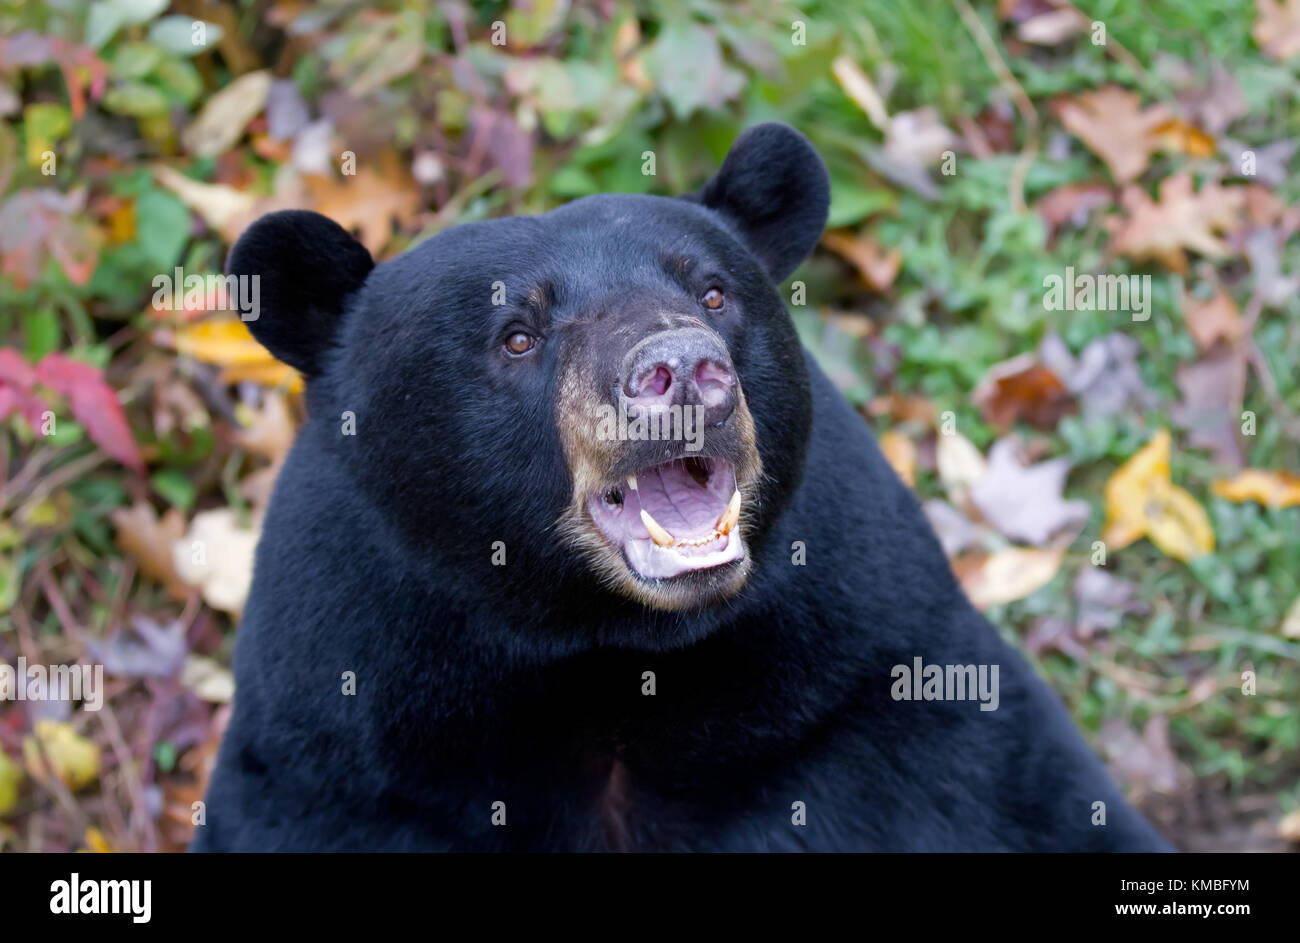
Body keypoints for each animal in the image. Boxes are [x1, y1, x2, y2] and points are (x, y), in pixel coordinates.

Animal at [195, 121, 1180, 848]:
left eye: (711, 293)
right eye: (517, 334)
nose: (680, 371)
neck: (610, 647)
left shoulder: (874, 695)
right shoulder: (346, 763)